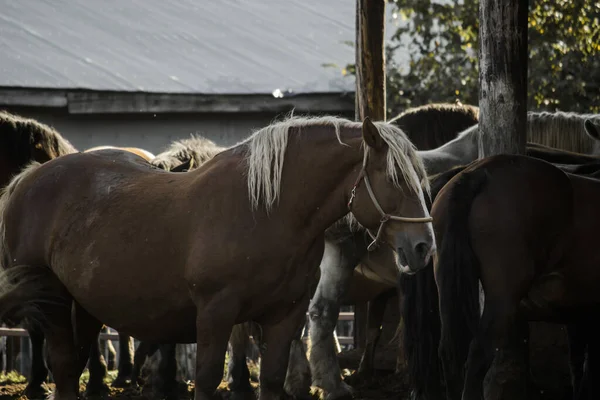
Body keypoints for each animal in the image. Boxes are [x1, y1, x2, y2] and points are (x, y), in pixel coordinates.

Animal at [0, 115, 434, 400]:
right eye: (394, 178)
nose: (423, 246)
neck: (265, 210)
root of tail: (25, 180)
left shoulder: (284, 316)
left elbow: (272, 380)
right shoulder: (215, 314)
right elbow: (207, 380)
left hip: (86, 309)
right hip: (55, 306)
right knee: (64, 367)